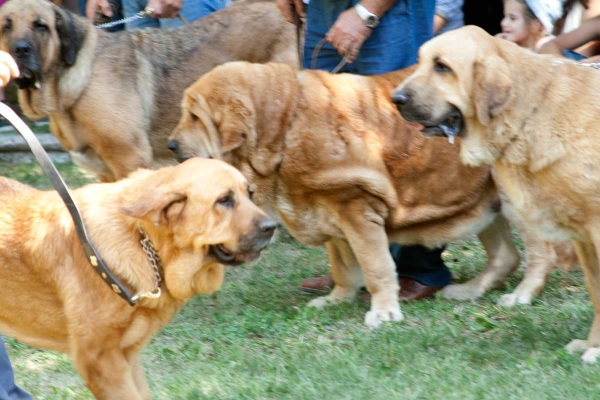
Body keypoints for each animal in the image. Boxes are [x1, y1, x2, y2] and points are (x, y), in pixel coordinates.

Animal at [0, 158, 276, 398]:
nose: (272, 227)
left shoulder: (127, 356)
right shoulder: (99, 360)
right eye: (224, 200)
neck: (143, 238)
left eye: (250, 194)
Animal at [166, 61, 576, 328]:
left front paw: (383, 313)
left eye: (195, 116)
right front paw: (336, 300)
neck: (283, 126)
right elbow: (344, 267)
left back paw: (521, 295)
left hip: (514, 199)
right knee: (506, 255)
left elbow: (377, 267)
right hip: (483, 200)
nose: (170, 144)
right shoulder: (330, 212)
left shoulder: (357, 209)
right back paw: (469, 291)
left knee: (541, 254)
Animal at [392, 24, 600, 362]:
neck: (529, 110)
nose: (395, 98)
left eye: (442, 67)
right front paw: (591, 345)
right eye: (420, 61)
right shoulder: (584, 239)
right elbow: (596, 291)